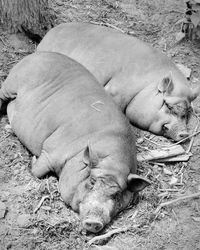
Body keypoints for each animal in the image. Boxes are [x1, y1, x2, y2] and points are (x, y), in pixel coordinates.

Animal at [0, 51, 150, 233]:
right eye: (91, 182)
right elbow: (37, 171)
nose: (94, 221)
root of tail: (37, 54)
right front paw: (33, 160)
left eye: (117, 194)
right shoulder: (51, 151)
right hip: (11, 84)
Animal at [36, 22, 199, 142]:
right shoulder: (116, 90)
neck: (146, 86)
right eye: (168, 106)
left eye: (187, 113)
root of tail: (49, 33)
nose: (185, 134)